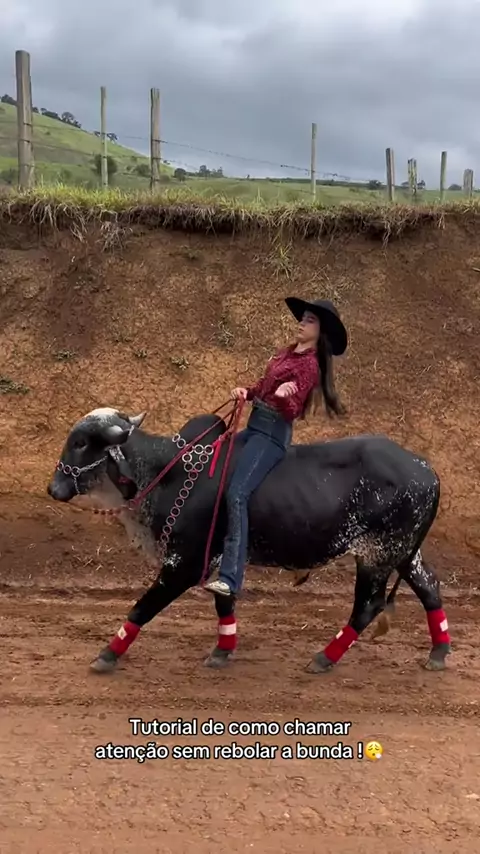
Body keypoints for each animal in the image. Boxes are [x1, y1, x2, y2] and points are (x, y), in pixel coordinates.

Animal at [46, 406, 451, 677]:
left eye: (80, 442)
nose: (54, 488)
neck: (171, 472)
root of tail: (427, 470)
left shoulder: (184, 564)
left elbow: (142, 607)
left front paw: (107, 653)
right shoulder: (217, 562)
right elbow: (223, 602)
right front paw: (222, 650)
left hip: (377, 555)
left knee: (368, 607)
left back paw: (323, 658)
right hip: (403, 553)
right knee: (429, 587)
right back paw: (438, 652)